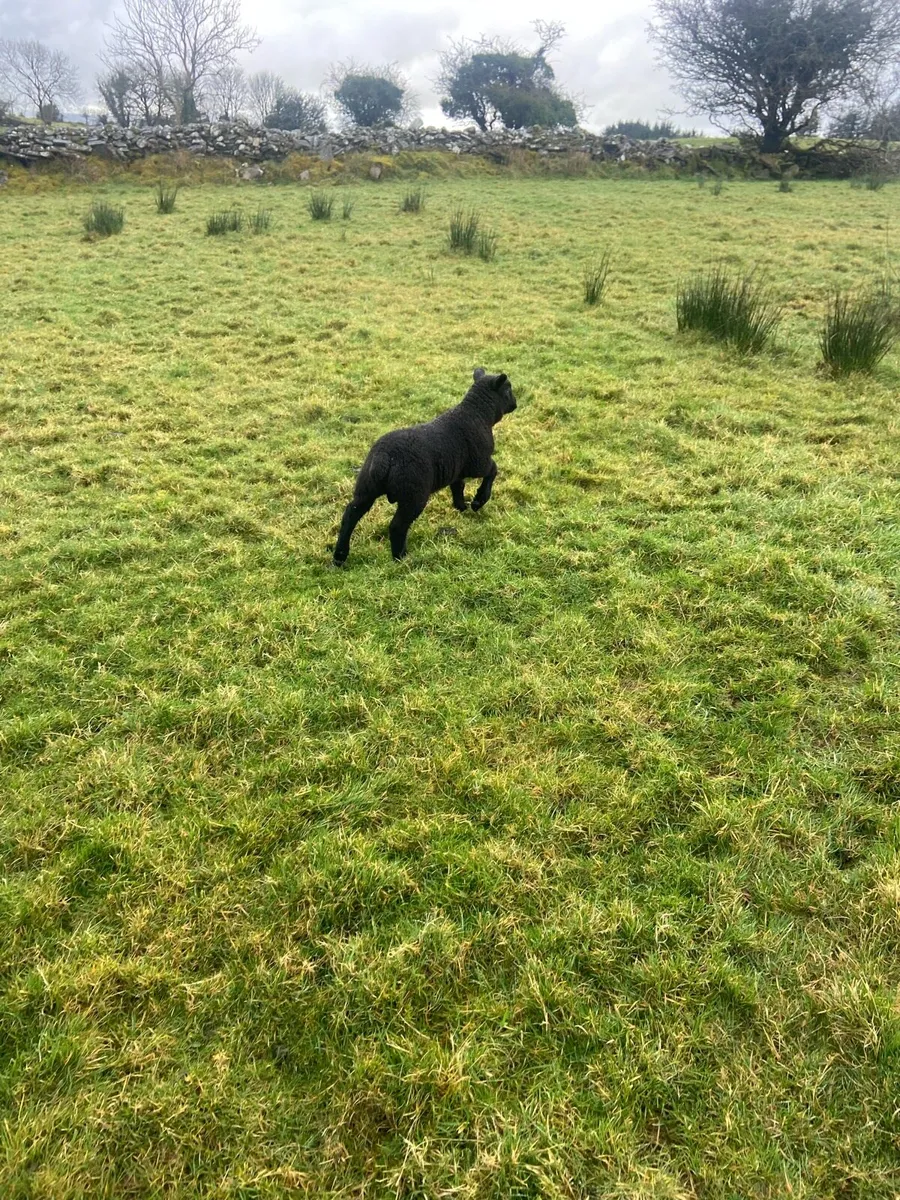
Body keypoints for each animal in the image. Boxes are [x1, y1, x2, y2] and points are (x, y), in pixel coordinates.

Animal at [333, 367, 518, 564]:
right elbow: (493, 470)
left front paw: (461, 507)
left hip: (367, 488)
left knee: (350, 515)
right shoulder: (479, 462)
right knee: (397, 526)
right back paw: (401, 557)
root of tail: (385, 458)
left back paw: (339, 557)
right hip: (414, 494)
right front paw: (478, 501)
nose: (515, 404)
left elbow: (458, 487)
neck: (478, 414)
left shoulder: (457, 470)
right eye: (508, 389)